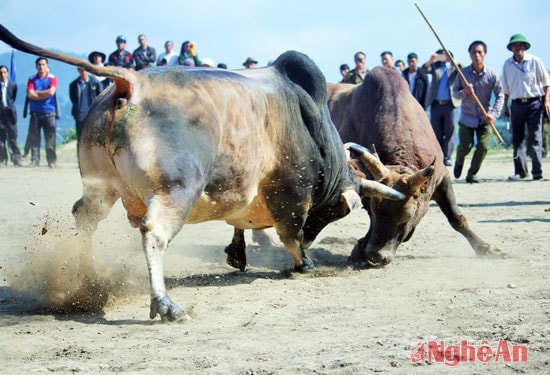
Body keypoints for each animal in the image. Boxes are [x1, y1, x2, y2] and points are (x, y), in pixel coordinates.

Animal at [328, 67, 504, 268]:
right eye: (375, 210)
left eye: (407, 216)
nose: (376, 256)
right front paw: (360, 249)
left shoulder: (441, 179)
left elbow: (456, 218)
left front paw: (485, 248)